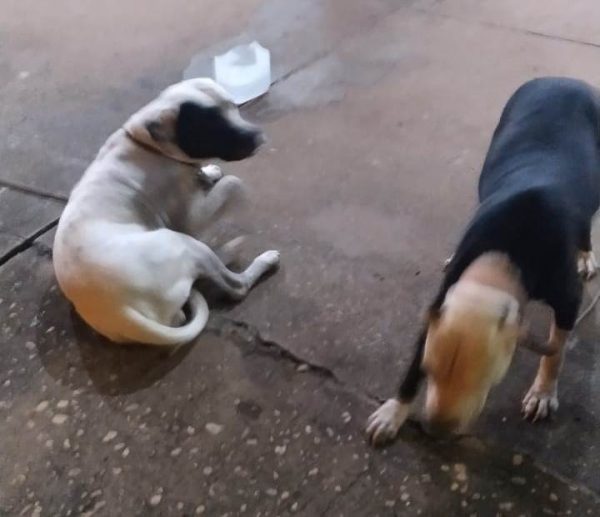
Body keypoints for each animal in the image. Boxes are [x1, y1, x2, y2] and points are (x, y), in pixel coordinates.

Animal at [53, 78, 280, 345]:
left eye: (234, 107)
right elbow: (233, 182)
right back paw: (259, 259)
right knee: (235, 286)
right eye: (211, 126)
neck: (148, 144)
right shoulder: (190, 220)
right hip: (183, 244)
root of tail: (121, 311)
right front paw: (239, 191)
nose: (258, 136)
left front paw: (209, 172)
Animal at [367, 77, 600, 444]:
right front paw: (395, 409)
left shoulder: (567, 298)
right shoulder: (442, 301)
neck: (497, 267)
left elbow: (556, 350)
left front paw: (543, 391)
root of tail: (564, 80)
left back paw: (586, 253)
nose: (435, 430)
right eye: (428, 371)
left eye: (484, 379)